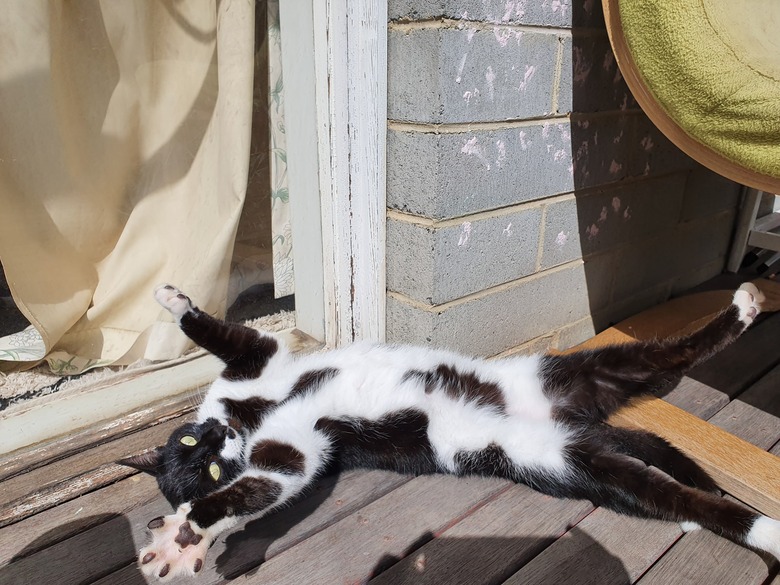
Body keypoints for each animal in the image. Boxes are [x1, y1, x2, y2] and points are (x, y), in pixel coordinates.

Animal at [120, 282, 780, 580]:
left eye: (193, 446)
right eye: (203, 464)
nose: (215, 441)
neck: (248, 415)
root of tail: (567, 419)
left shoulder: (258, 359)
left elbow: (226, 334)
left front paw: (172, 300)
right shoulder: (291, 455)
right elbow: (263, 486)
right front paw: (189, 535)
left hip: (577, 372)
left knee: (672, 355)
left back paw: (745, 307)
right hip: (567, 459)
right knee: (672, 492)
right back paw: (754, 526)